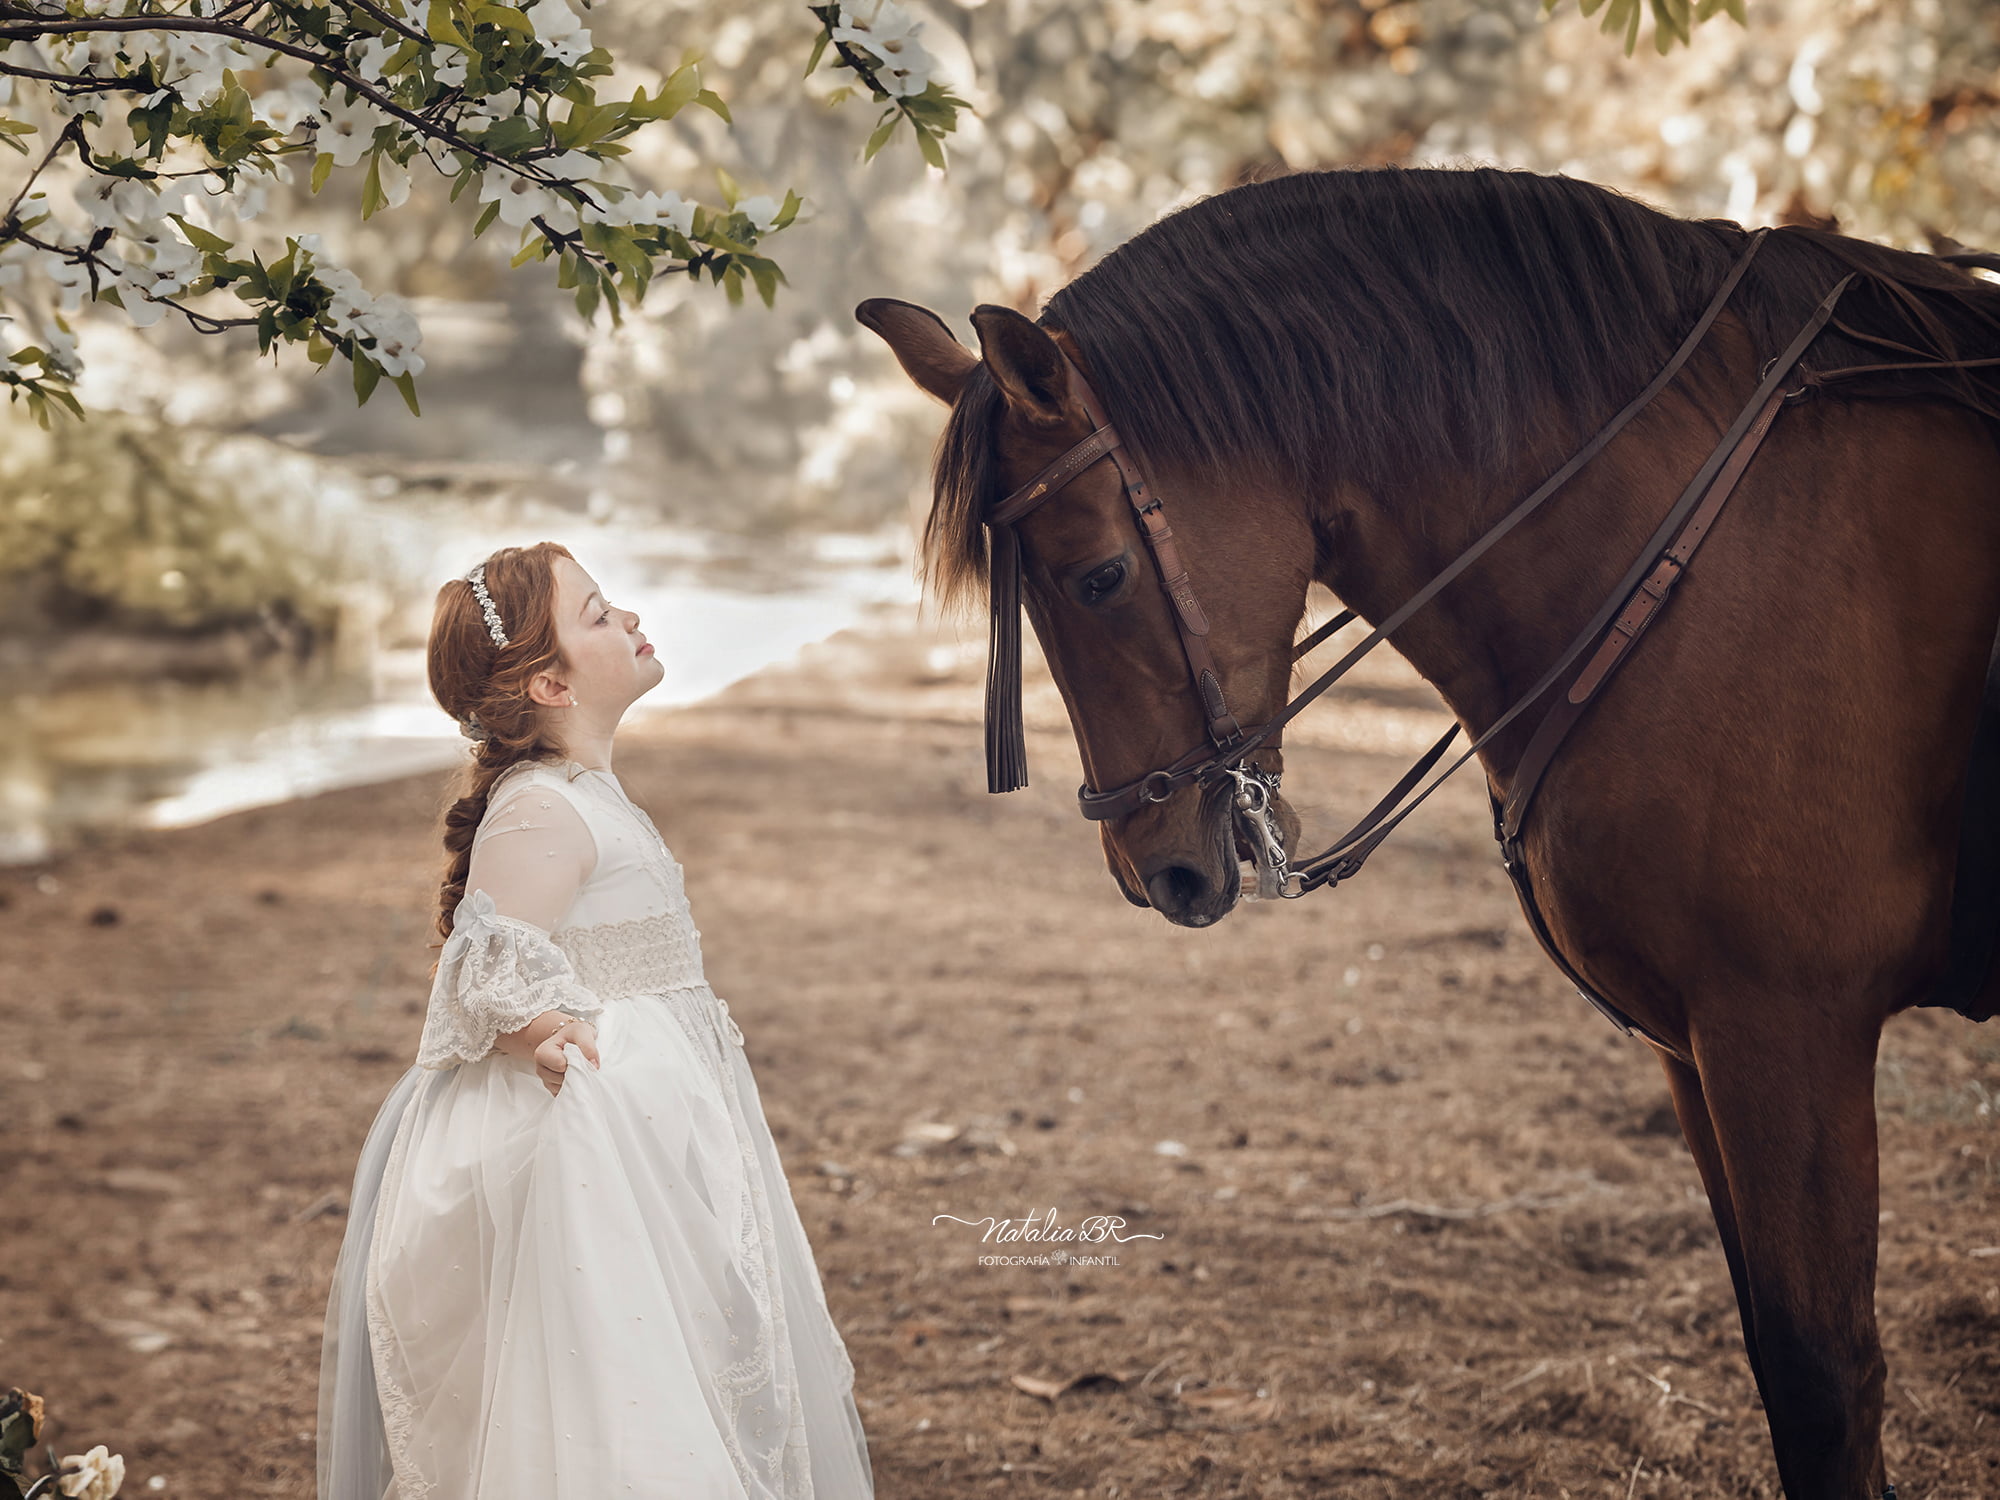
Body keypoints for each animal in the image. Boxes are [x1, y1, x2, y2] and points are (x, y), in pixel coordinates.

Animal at [856, 166, 2000, 1500]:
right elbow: (1777, 1359)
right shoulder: (1695, 1046)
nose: (1160, 872)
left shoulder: (1783, 1029)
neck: (1702, 550)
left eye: (1097, 578)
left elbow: (1825, 1380)